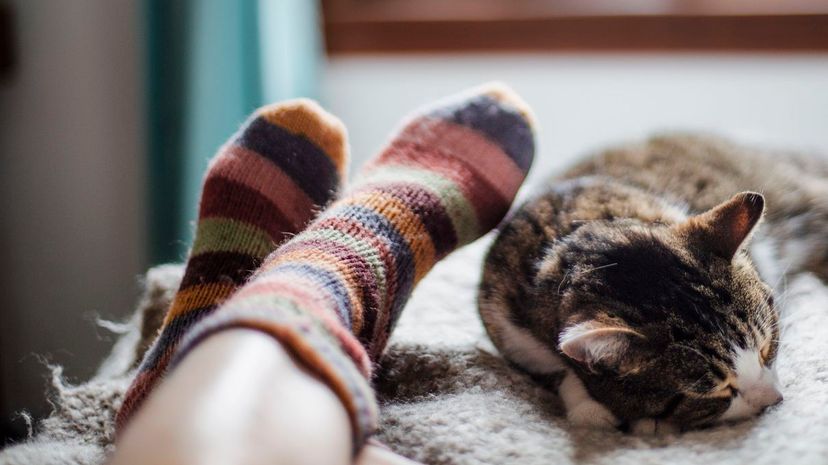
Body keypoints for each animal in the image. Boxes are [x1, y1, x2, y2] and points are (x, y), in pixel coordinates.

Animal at [478, 132, 828, 434]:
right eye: (717, 392)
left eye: (767, 347)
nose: (775, 401)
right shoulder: (504, 323)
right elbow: (554, 368)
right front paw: (589, 407)